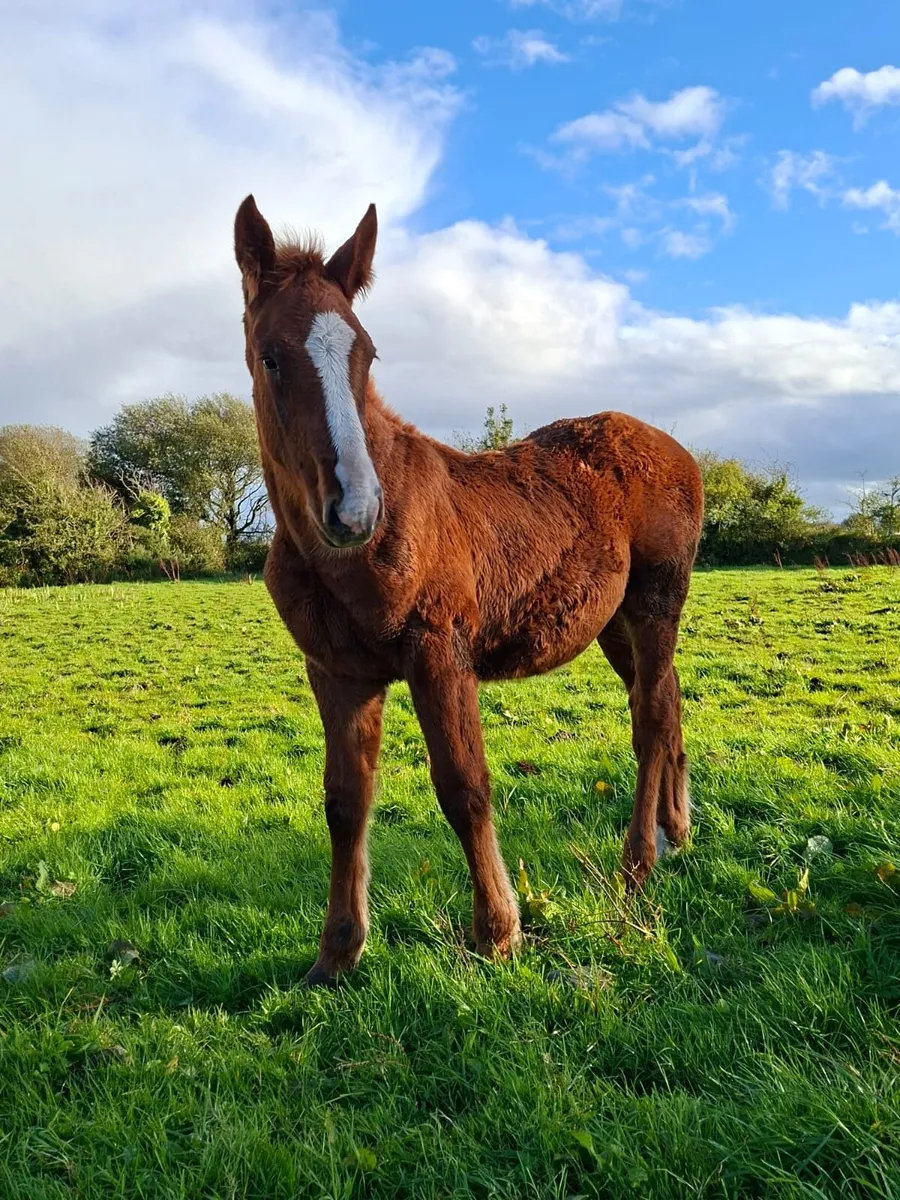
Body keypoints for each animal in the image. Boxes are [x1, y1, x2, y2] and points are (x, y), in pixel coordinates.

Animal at [234, 195, 704, 986]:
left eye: (365, 354)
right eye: (271, 356)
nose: (355, 511)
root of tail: (679, 451)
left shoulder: (439, 654)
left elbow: (465, 786)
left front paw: (499, 933)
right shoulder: (336, 672)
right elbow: (345, 801)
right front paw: (337, 952)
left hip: (656, 600)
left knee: (648, 719)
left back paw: (637, 863)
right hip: (614, 623)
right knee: (665, 702)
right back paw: (676, 833)